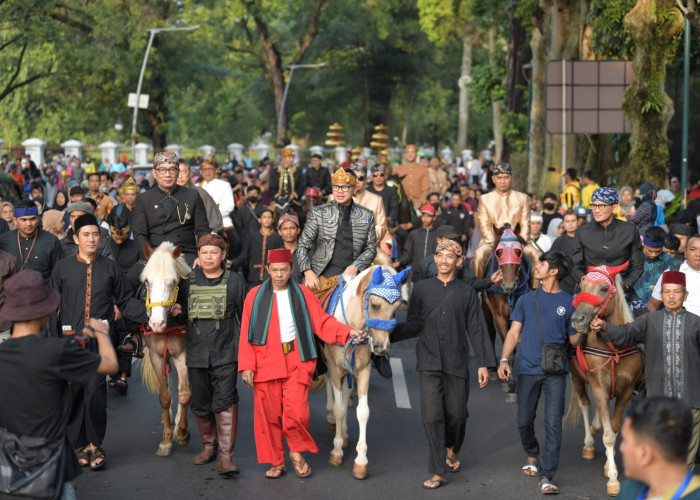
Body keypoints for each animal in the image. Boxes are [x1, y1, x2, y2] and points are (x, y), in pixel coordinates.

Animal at [138, 242, 193, 458]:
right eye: (147, 281)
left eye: (173, 281)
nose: (156, 323)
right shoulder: (156, 355)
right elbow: (164, 396)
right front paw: (166, 440)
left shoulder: (183, 355)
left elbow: (184, 393)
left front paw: (181, 432)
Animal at [322, 266, 410, 480]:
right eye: (376, 305)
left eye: (396, 309)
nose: (381, 347)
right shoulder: (335, 369)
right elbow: (339, 408)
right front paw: (336, 451)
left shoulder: (363, 371)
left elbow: (362, 412)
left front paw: (361, 461)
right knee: (330, 388)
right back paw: (332, 420)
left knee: (346, 394)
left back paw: (345, 433)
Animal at [568, 264, 644, 498]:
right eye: (582, 286)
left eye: (603, 288)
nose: (578, 319)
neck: (613, 348)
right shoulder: (599, 387)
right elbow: (608, 434)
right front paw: (613, 478)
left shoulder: (626, 390)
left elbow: (615, 427)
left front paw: (609, 468)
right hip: (576, 377)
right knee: (585, 404)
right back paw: (588, 443)